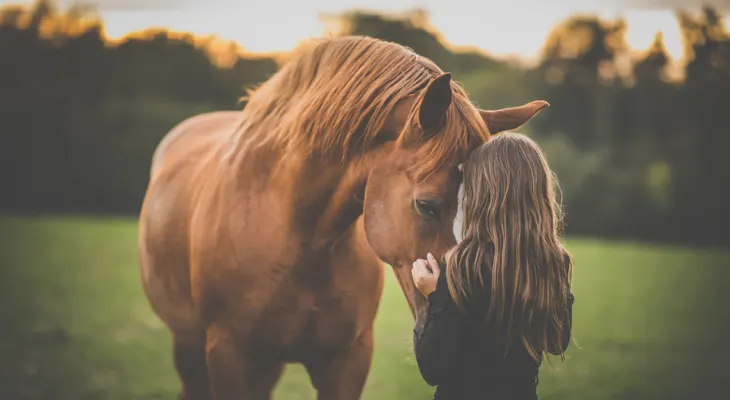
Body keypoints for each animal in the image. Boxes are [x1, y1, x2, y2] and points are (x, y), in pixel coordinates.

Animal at [138, 35, 548, 400]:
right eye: (427, 205)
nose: (478, 325)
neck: (295, 236)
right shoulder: (228, 357)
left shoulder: (347, 362)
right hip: (190, 347)